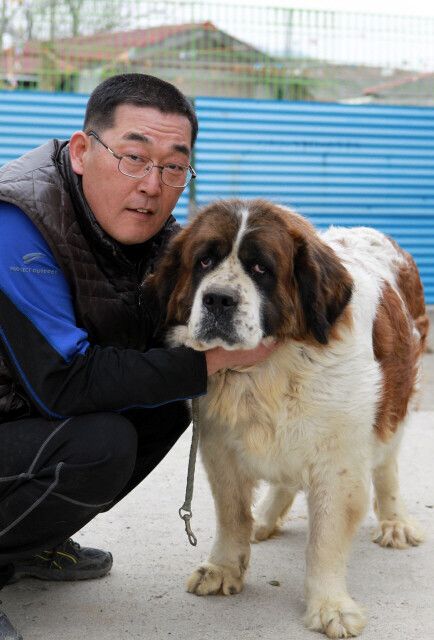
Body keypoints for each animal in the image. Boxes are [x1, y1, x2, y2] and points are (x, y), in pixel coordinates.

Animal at [144, 198, 428, 636]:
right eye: (204, 261)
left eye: (261, 268)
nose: (218, 300)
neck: (267, 371)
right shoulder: (220, 448)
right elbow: (231, 514)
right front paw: (224, 567)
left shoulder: (339, 464)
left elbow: (325, 540)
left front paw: (329, 606)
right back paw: (265, 517)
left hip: (397, 400)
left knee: (387, 465)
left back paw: (395, 520)